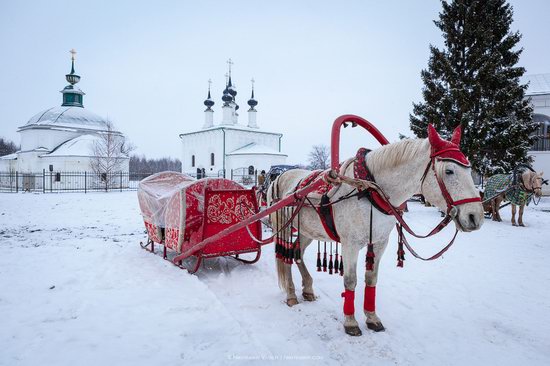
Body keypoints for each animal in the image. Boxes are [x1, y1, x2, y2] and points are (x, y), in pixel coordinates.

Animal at [270, 125, 486, 334]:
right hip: (285, 227)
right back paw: (291, 294)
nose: (475, 217)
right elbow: (350, 280)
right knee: (286, 256)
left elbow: (371, 279)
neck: (369, 190)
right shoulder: (350, 244)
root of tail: (279, 177)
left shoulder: (380, 242)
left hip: (307, 231)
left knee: (297, 253)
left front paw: (372, 318)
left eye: (470, 170)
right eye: (449, 171)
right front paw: (350, 322)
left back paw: (307, 289)